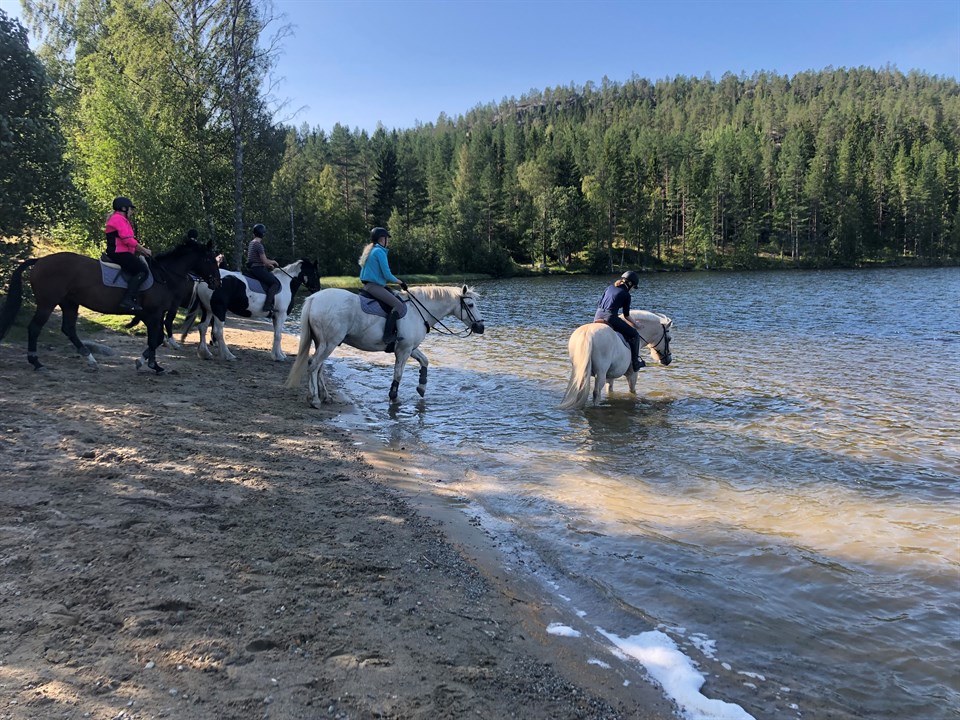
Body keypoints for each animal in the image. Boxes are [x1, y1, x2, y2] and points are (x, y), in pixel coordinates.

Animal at [0, 240, 221, 374]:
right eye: (209, 259)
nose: (217, 282)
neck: (164, 276)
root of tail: (40, 260)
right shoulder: (154, 314)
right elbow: (155, 339)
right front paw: (150, 364)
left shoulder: (152, 315)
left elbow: (156, 339)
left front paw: (148, 363)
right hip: (48, 303)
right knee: (35, 328)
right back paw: (36, 362)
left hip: (70, 303)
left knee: (69, 329)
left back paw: (90, 359)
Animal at [179, 258, 321, 362]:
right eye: (315, 273)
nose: (318, 290)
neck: (286, 284)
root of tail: (204, 280)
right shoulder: (281, 315)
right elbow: (279, 335)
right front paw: (278, 357)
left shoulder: (276, 316)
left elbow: (277, 334)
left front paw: (279, 354)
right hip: (219, 310)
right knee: (218, 331)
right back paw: (228, 355)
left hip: (208, 309)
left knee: (202, 327)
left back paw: (205, 353)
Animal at [285, 285, 485, 406]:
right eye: (470, 305)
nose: (481, 327)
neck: (417, 311)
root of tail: (314, 298)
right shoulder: (403, 350)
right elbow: (398, 373)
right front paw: (394, 397)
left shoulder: (410, 348)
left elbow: (425, 361)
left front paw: (421, 387)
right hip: (329, 343)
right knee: (314, 365)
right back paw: (315, 399)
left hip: (324, 343)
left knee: (319, 368)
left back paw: (325, 396)